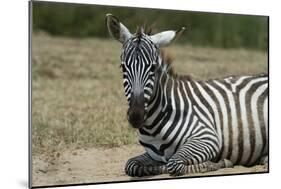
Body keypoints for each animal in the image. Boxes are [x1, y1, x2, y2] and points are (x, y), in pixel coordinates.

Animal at [105, 13, 266, 177]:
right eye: (123, 67)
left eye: (153, 68)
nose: (136, 116)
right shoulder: (153, 154)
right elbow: (131, 165)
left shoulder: (208, 137)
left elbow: (173, 164)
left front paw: (218, 163)